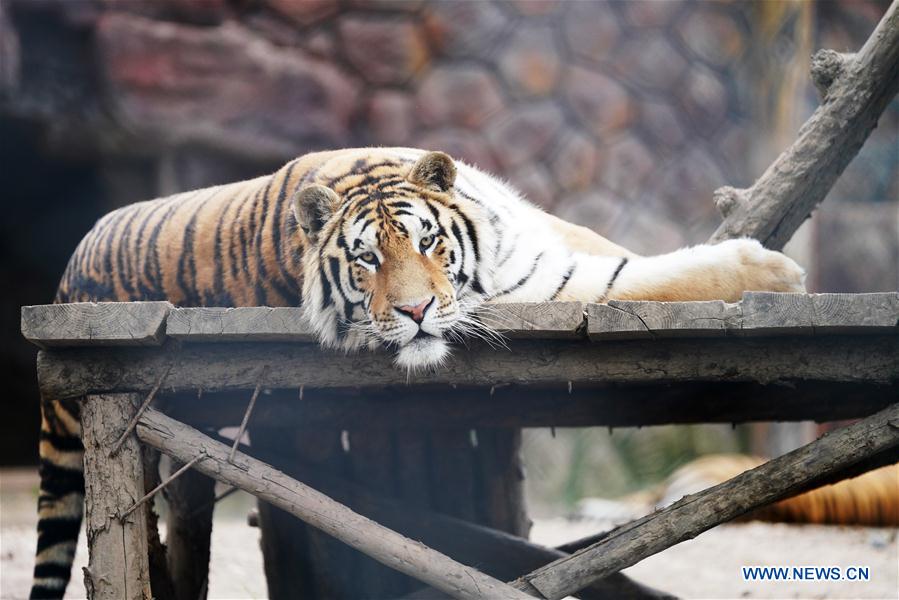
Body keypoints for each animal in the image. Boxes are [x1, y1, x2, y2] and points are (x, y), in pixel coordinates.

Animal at [31, 147, 805, 598]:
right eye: (366, 260)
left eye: (429, 241)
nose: (415, 311)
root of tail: (64, 279)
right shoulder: (545, 287)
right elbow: (641, 277)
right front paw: (774, 272)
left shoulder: (539, 230)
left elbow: (609, 246)